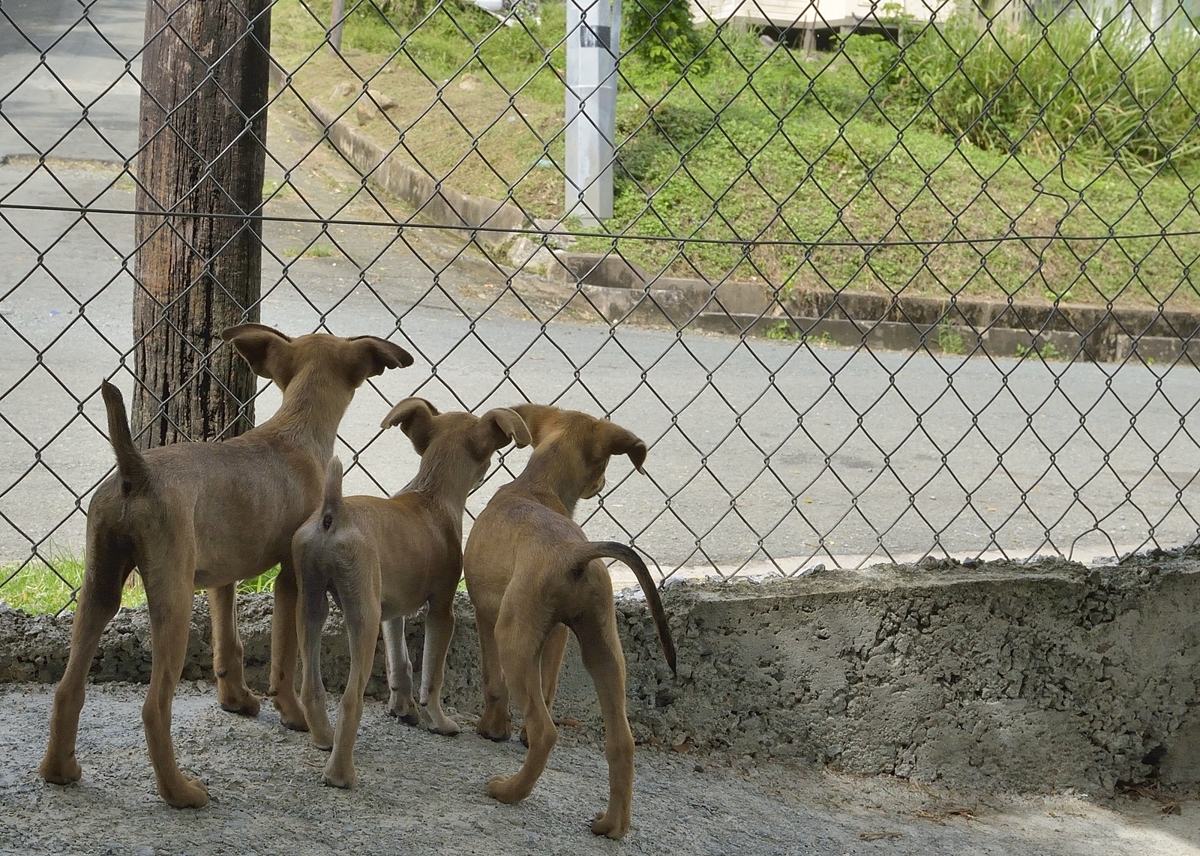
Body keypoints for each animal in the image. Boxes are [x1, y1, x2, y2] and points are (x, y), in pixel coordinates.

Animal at [38, 324, 412, 806]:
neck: (295, 429)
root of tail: (135, 472)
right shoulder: (291, 579)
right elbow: (285, 656)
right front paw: (292, 714)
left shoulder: (222, 577)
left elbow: (226, 642)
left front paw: (236, 700)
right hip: (173, 603)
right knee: (154, 707)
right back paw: (180, 792)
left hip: (99, 586)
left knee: (68, 688)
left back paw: (59, 770)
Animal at [290, 398, 530, 787]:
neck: (430, 493)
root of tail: (332, 512)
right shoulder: (442, 610)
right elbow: (432, 674)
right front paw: (439, 721)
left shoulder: (392, 610)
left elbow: (400, 663)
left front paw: (404, 710)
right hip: (362, 615)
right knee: (351, 699)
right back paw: (340, 773)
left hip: (310, 602)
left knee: (311, 686)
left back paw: (324, 739)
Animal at [463, 403, 681, 840]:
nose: (601, 482)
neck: (537, 487)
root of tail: (573, 553)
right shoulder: (558, 634)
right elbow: (548, 687)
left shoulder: (486, 615)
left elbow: (493, 684)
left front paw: (492, 729)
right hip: (603, 647)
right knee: (621, 741)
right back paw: (613, 825)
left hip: (512, 637)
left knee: (547, 731)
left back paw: (509, 790)